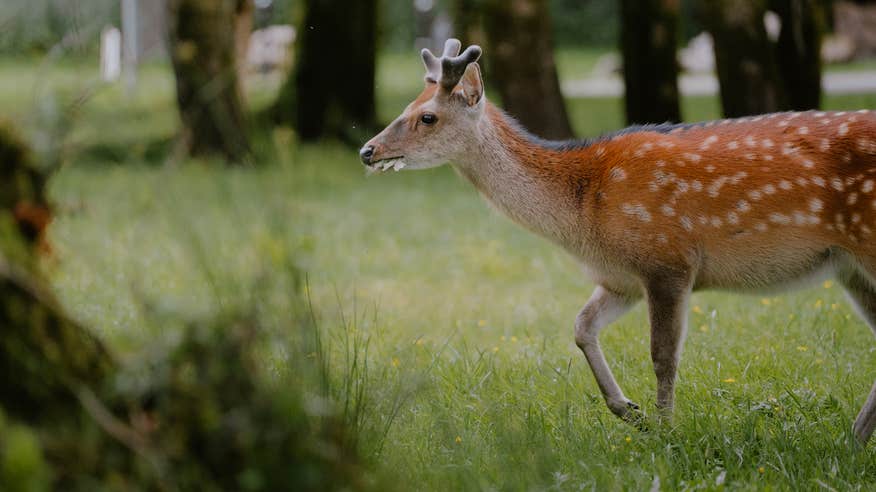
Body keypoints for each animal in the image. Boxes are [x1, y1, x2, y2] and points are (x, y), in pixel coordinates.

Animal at [358, 39, 876, 442]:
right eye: (405, 108)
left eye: (427, 117)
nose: (367, 150)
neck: (583, 216)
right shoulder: (620, 278)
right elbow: (581, 327)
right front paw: (630, 412)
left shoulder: (667, 259)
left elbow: (663, 357)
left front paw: (667, 432)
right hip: (849, 268)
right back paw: (853, 438)